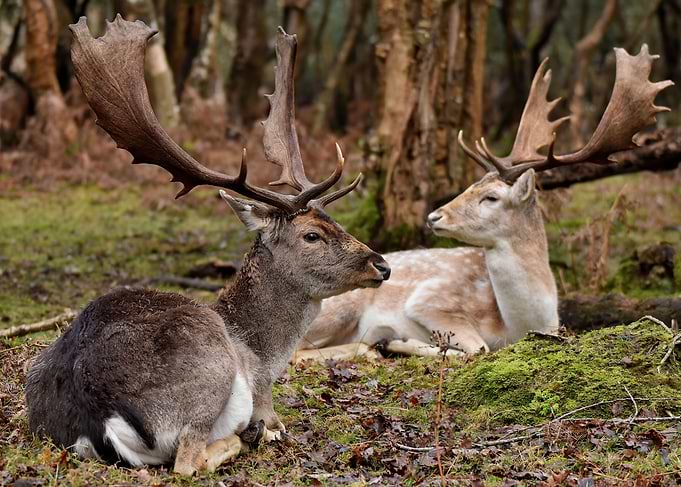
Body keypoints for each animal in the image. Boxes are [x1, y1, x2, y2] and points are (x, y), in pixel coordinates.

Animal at [25, 16, 391, 476]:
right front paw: (267, 430)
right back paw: (245, 436)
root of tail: (98, 415)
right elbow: (274, 424)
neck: (263, 352)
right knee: (188, 460)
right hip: (210, 374)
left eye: (335, 222)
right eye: (312, 235)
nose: (382, 265)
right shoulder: (261, 390)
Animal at [294, 45, 672, 363]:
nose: (434, 216)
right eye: (471, 185)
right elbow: (478, 348)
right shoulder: (430, 299)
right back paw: (374, 346)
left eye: (490, 196)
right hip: (341, 304)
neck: (519, 325)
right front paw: (401, 341)